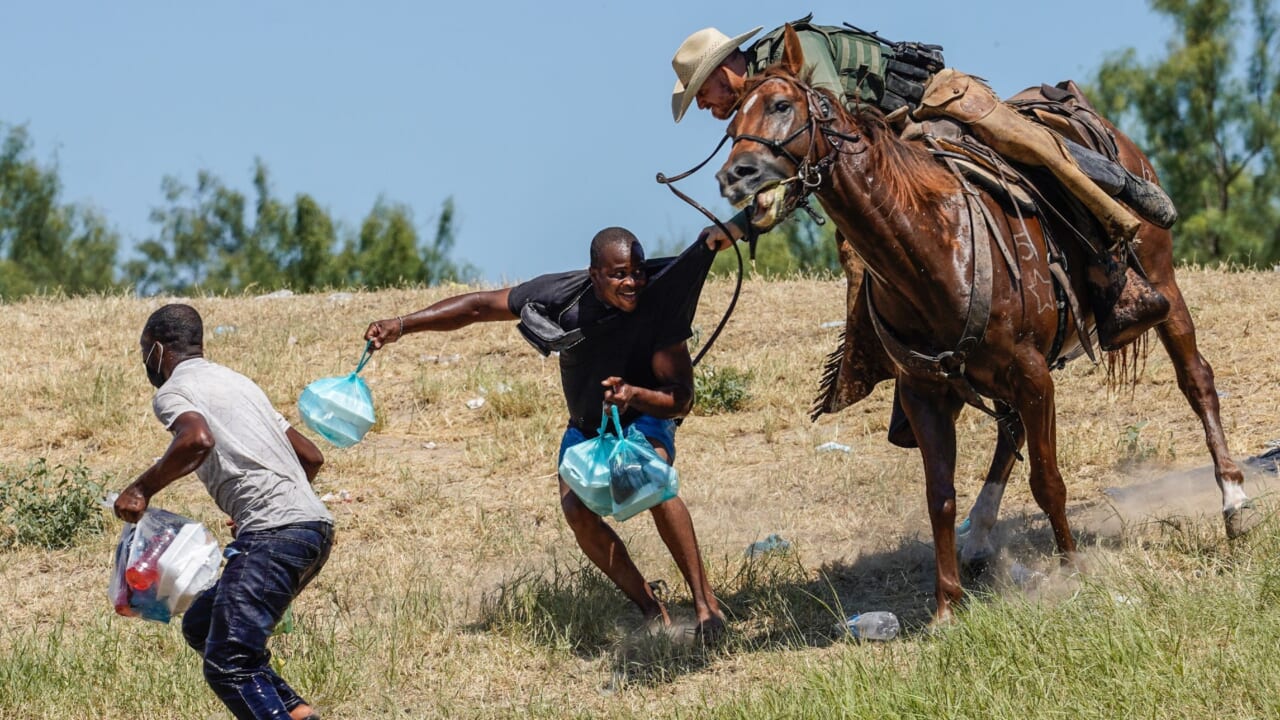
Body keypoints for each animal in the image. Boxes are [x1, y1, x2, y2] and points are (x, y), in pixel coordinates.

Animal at [721, 25, 1259, 620]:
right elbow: (940, 497)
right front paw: (946, 606)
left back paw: (1234, 501)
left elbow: (1048, 480)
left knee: (1196, 379)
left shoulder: (1031, 372)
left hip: (1162, 282)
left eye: (781, 105)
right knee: (1010, 432)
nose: (734, 175)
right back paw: (978, 536)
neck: (930, 244)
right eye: (731, 123)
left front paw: (1073, 570)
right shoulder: (927, 391)